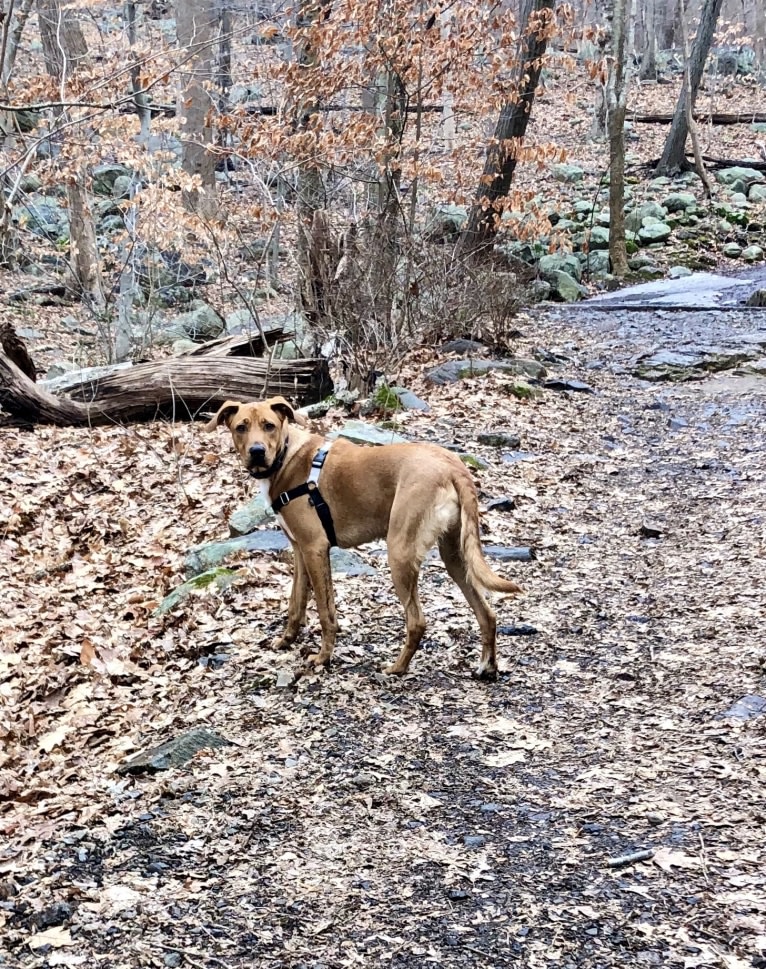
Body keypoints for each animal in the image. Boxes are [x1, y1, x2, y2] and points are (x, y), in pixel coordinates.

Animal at [207, 394, 524, 672]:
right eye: (241, 427)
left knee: (417, 622)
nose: (257, 452)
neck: (287, 456)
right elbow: (296, 603)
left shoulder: (315, 548)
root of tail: (453, 465)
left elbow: (325, 611)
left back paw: (397, 668)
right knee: (487, 613)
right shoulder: (299, 550)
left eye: (269, 425)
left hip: (400, 552)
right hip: (455, 555)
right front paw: (286, 641)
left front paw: (323, 658)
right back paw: (486, 666)